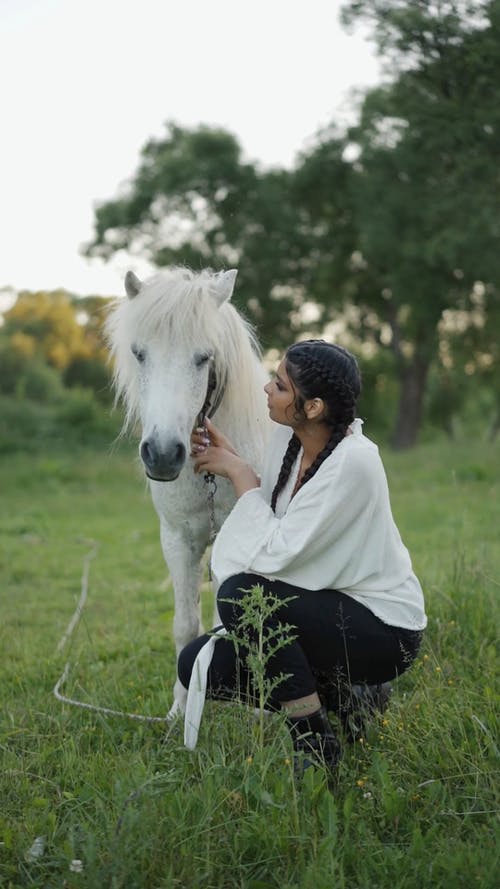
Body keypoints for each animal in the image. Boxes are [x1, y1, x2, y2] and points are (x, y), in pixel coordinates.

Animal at [105, 266, 270, 716]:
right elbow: (186, 624)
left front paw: (254, 708)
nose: (163, 454)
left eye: (204, 357)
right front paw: (180, 707)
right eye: (139, 353)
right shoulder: (178, 539)